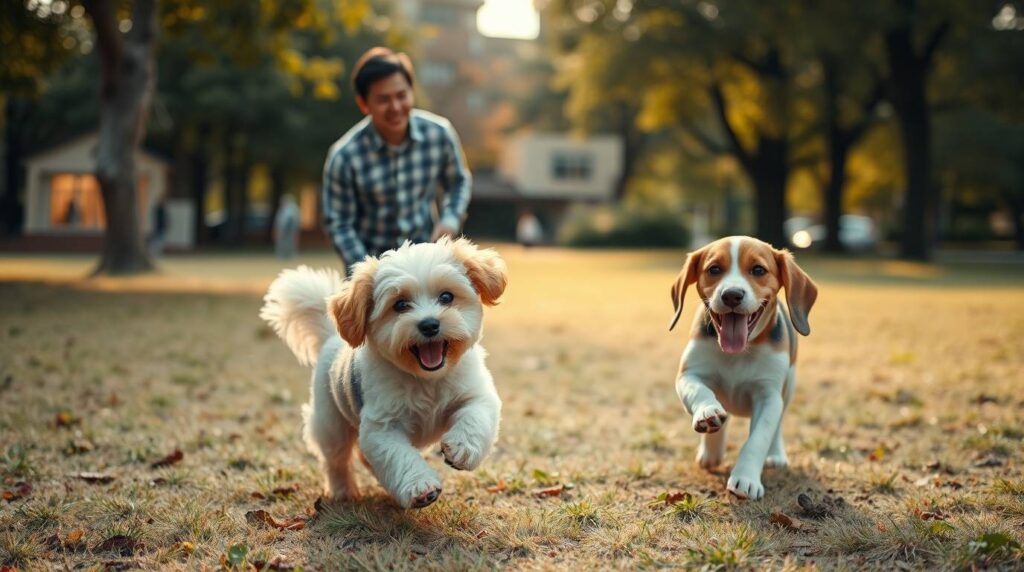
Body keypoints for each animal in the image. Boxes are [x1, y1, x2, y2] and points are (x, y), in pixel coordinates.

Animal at [260, 239, 507, 507]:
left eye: (446, 296)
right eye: (400, 305)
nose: (429, 324)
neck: (426, 380)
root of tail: (330, 337)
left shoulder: (476, 395)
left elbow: (475, 417)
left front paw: (463, 447)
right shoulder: (381, 428)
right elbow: (399, 457)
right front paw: (420, 485)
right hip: (331, 425)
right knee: (336, 461)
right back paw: (343, 490)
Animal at [667, 235, 819, 499]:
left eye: (758, 270)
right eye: (714, 269)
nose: (731, 295)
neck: (739, 353)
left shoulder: (769, 397)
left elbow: (758, 439)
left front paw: (745, 479)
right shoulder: (689, 374)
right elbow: (700, 392)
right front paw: (707, 412)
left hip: (789, 386)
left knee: (778, 425)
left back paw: (775, 455)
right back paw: (711, 449)